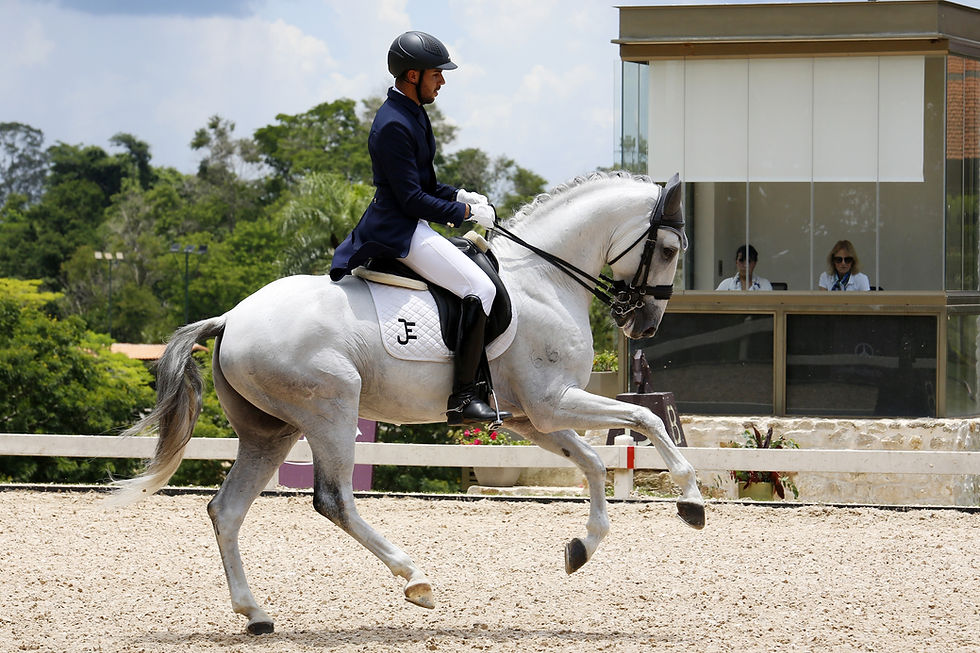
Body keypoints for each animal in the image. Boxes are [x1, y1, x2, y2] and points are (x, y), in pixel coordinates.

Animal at [109, 170, 705, 634]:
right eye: (669, 250)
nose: (644, 325)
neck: (544, 279)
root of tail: (232, 317)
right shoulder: (553, 403)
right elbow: (644, 417)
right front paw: (691, 500)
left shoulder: (532, 418)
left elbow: (595, 463)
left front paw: (582, 548)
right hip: (331, 409)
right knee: (333, 499)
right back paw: (415, 579)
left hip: (271, 430)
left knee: (227, 510)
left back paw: (255, 614)